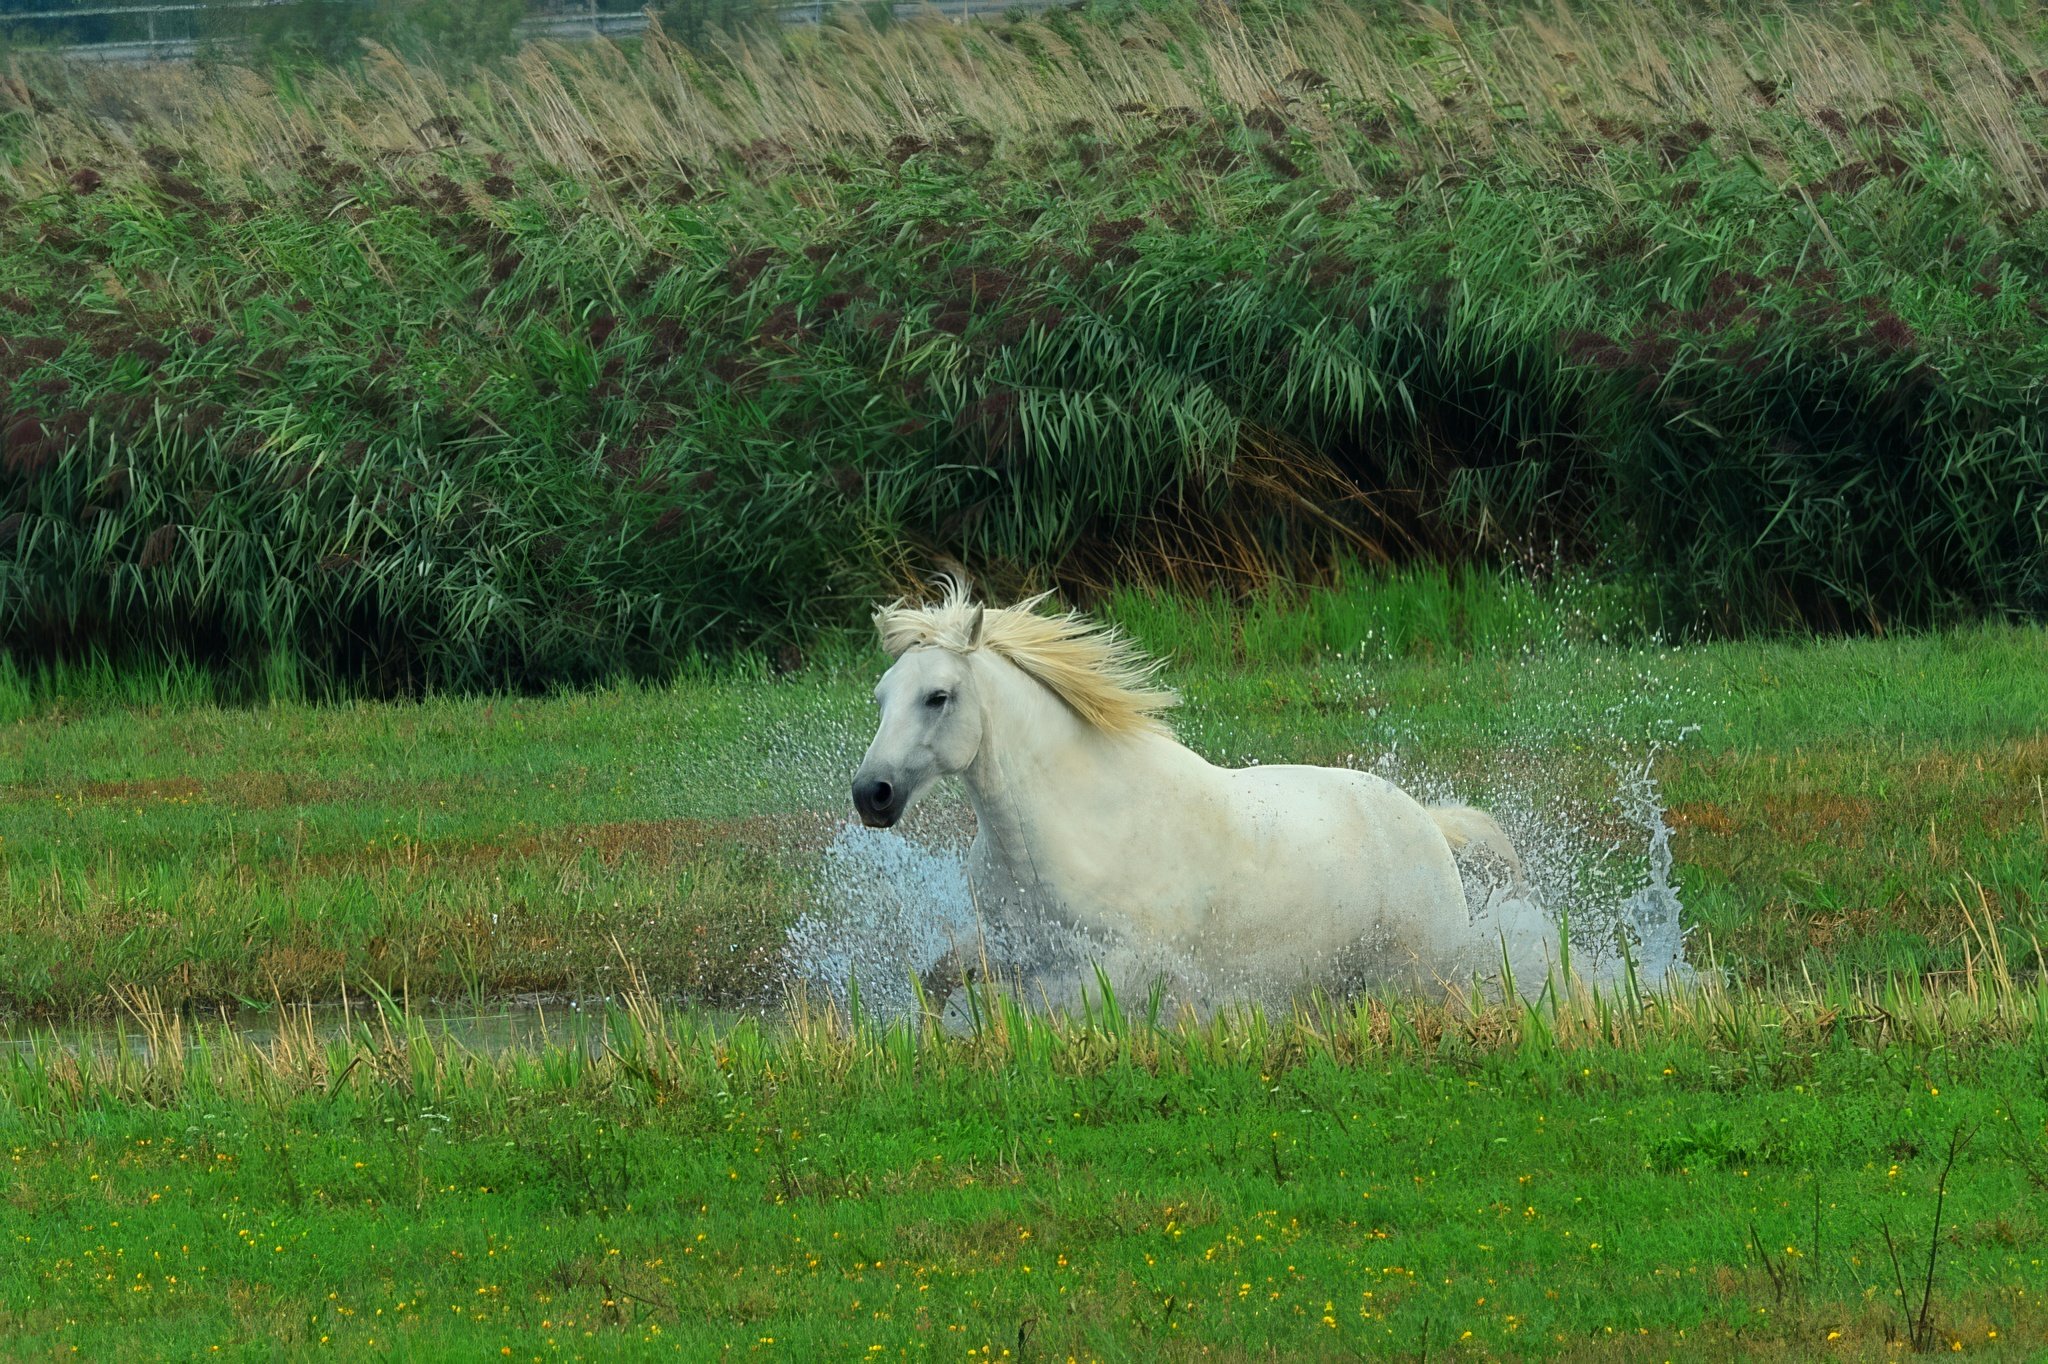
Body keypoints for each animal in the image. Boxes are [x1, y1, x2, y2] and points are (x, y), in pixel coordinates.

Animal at [848, 581, 1550, 1010]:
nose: (871, 794)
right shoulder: (1010, 947)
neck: (1071, 826)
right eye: (880, 696)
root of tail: (1426, 824)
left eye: (938, 696)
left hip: (1415, 976)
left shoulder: (1120, 967)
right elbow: (939, 982)